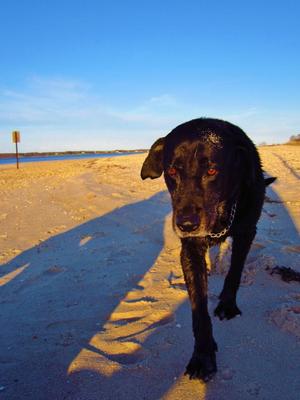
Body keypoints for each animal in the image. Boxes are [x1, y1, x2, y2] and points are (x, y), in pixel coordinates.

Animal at [141, 118, 276, 382]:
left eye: (212, 171)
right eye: (172, 172)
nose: (186, 225)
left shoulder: (246, 233)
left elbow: (234, 273)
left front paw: (227, 304)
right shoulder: (190, 249)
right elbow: (199, 310)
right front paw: (203, 356)